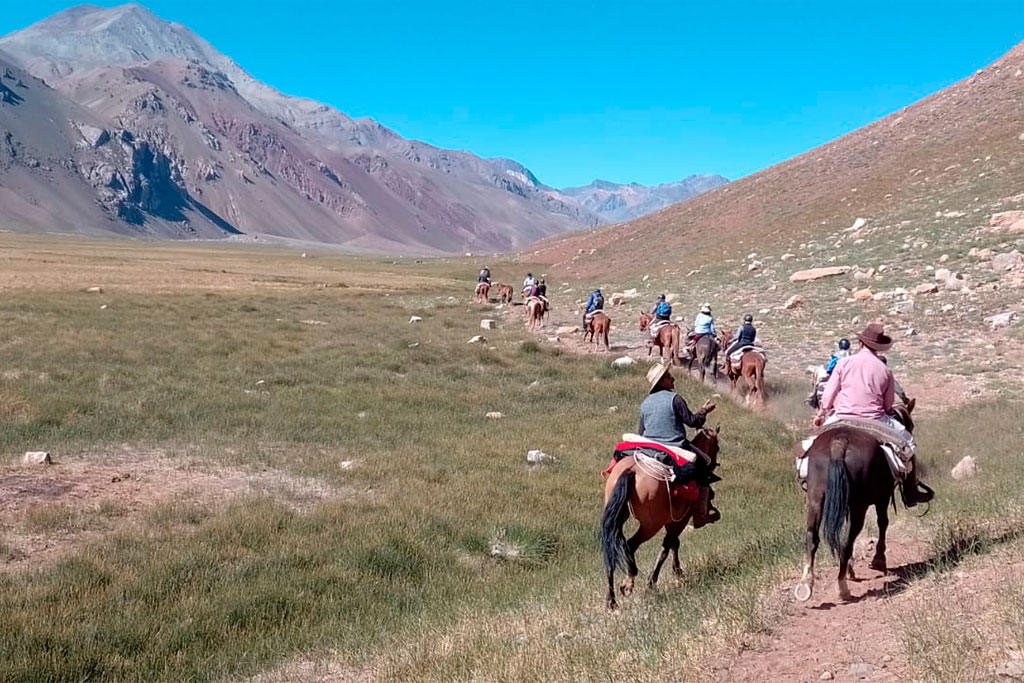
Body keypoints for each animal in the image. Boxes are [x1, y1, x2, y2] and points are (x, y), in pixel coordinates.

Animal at [598, 430, 720, 610]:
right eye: (717, 447)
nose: (714, 465)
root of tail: (632, 470)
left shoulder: (673, 521)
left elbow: (673, 544)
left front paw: (677, 571)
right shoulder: (679, 521)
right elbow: (667, 547)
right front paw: (653, 582)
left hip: (617, 518)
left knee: (612, 551)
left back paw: (611, 600)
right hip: (651, 526)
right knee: (630, 545)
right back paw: (628, 582)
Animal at [794, 401, 917, 602]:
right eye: (911, 425)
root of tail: (840, 442)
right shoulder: (882, 498)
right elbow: (883, 523)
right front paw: (878, 559)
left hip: (815, 498)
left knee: (812, 537)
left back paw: (806, 584)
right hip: (859, 506)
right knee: (847, 539)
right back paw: (842, 587)